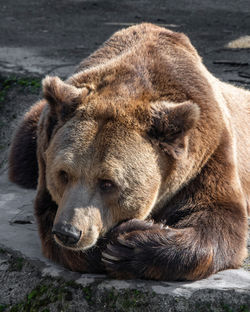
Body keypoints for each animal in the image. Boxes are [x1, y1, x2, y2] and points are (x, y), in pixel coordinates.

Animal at [7, 22, 248, 280]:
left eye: (107, 182)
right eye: (63, 174)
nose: (68, 232)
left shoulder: (208, 153)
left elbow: (219, 217)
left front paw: (128, 247)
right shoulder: (45, 149)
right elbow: (49, 217)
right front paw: (119, 240)